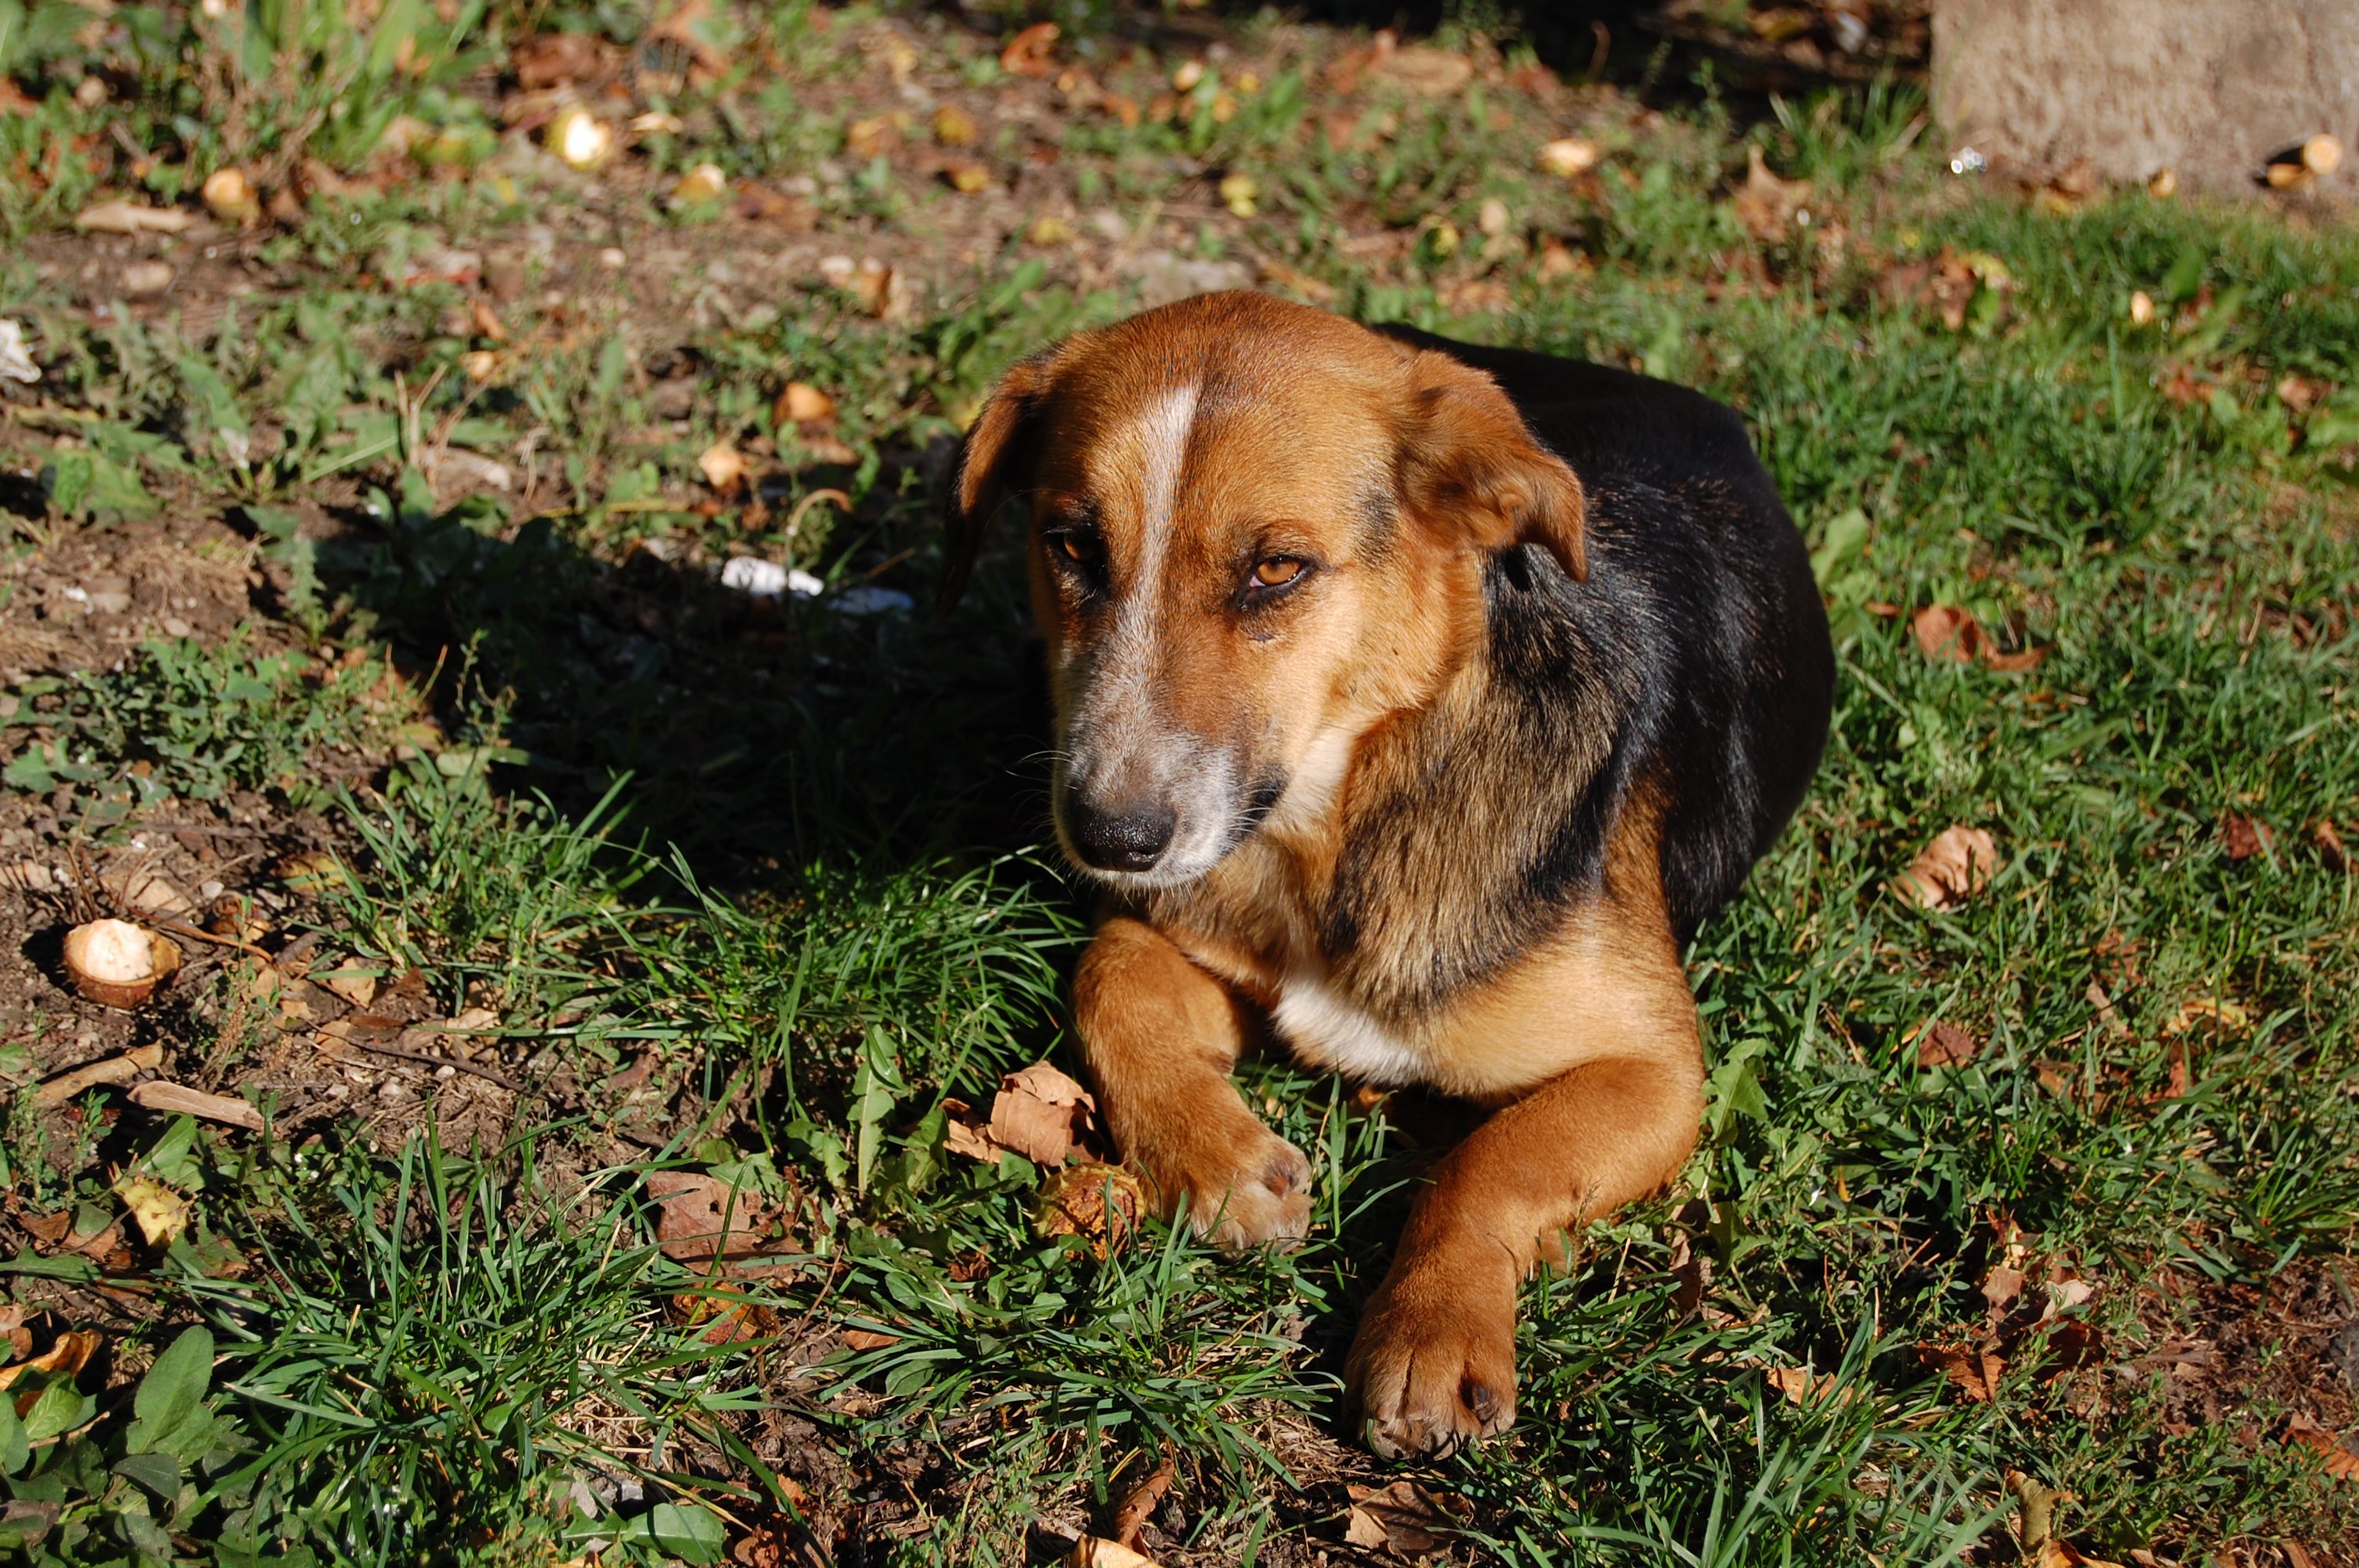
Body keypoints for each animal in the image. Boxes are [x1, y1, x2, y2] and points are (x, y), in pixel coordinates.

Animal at [939, 289, 1840, 1452]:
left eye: (1276, 569)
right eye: (1071, 545)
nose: (1108, 835)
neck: (1339, 816)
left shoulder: (1655, 1071)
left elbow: (1492, 1160)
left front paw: (1434, 1329)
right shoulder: (1196, 936)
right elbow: (1109, 978)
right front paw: (1219, 1163)